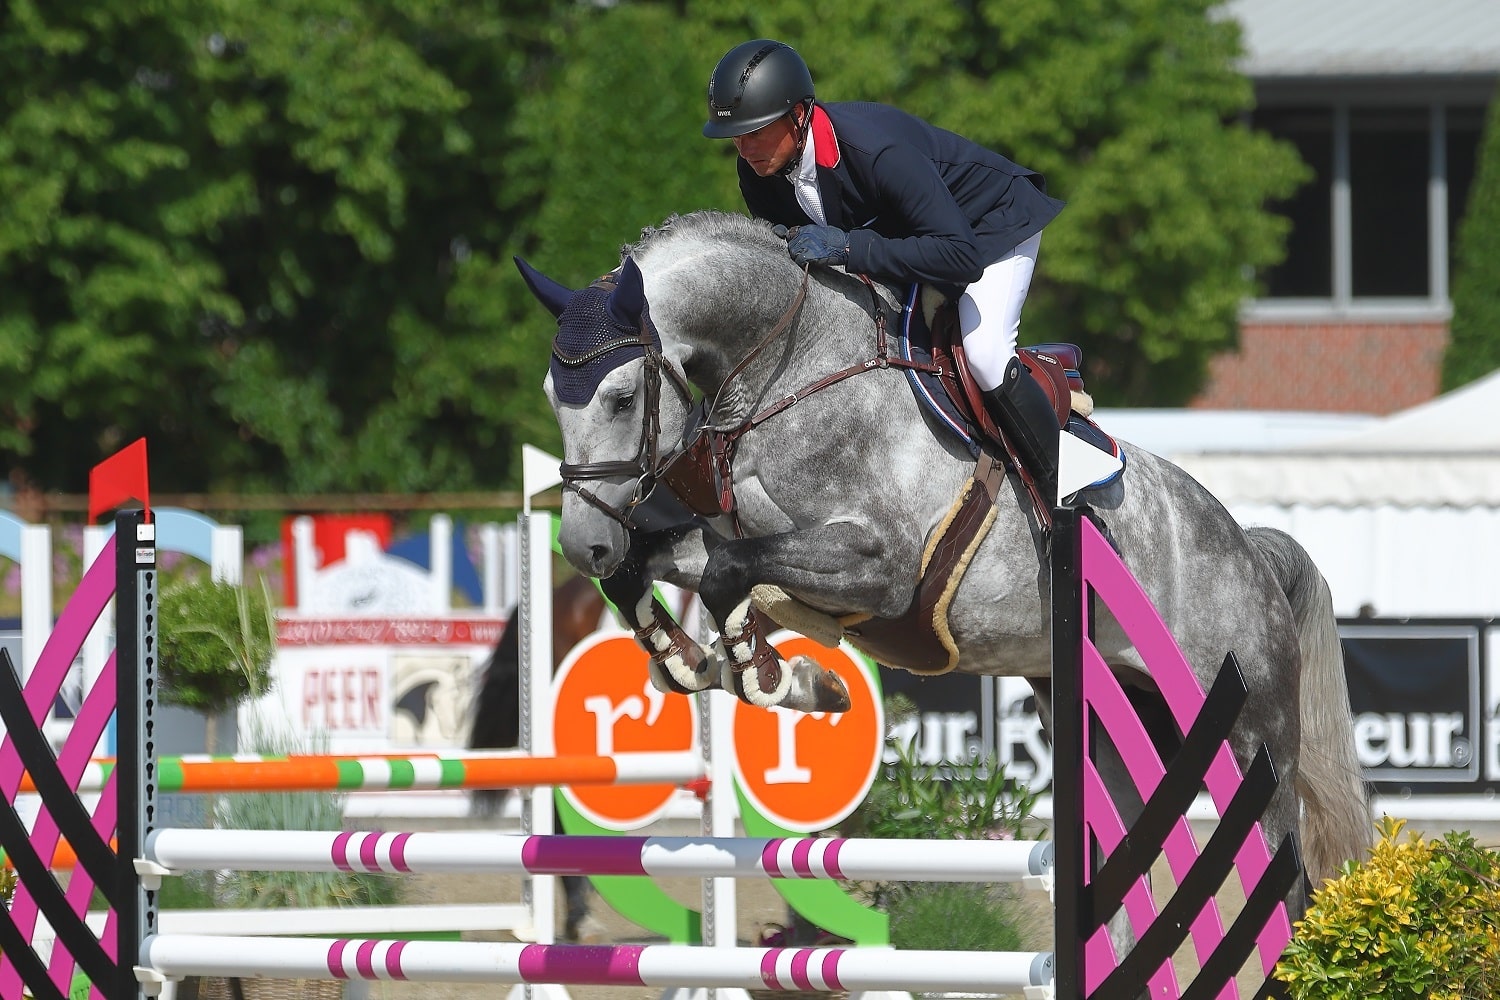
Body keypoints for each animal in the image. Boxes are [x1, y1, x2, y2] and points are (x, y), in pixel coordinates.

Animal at [516, 205, 1374, 893]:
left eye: (622, 397)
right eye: (553, 399)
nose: (584, 544)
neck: (791, 376)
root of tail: (1248, 552)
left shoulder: (880, 571)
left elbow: (733, 576)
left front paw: (774, 673)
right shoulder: (733, 537)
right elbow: (667, 568)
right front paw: (706, 662)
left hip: (1250, 734)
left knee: (1286, 877)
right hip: (1115, 730)